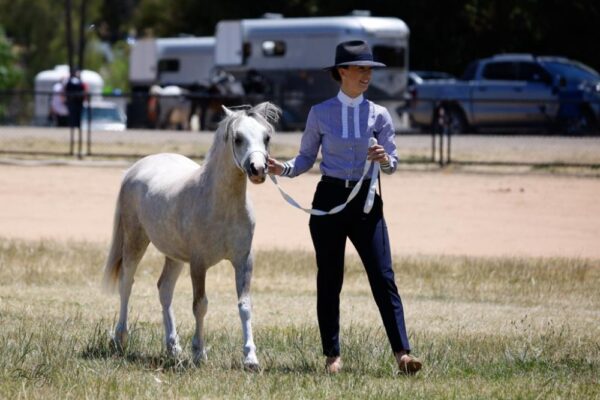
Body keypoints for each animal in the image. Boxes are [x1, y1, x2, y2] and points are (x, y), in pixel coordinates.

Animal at [103, 101, 282, 368]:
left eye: (266, 137)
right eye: (238, 138)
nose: (258, 169)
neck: (221, 206)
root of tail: (135, 168)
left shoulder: (244, 261)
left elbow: (245, 305)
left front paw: (250, 358)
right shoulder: (199, 263)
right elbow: (200, 305)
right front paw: (199, 353)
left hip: (174, 256)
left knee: (164, 289)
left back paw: (173, 347)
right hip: (136, 241)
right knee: (127, 282)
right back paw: (121, 339)